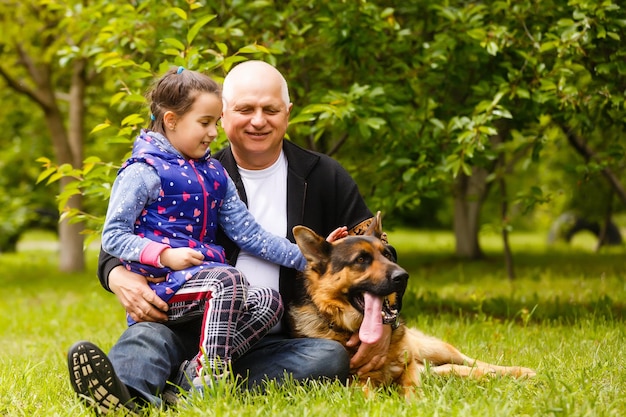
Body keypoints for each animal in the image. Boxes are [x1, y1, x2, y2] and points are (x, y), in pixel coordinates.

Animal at [290, 213, 532, 394]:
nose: (403, 277)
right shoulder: (357, 384)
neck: (351, 329)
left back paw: (518, 372)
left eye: (387, 254)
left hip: (435, 349)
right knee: (452, 369)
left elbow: (412, 390)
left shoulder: (409, 369)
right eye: (361, 259)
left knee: (472, 362)